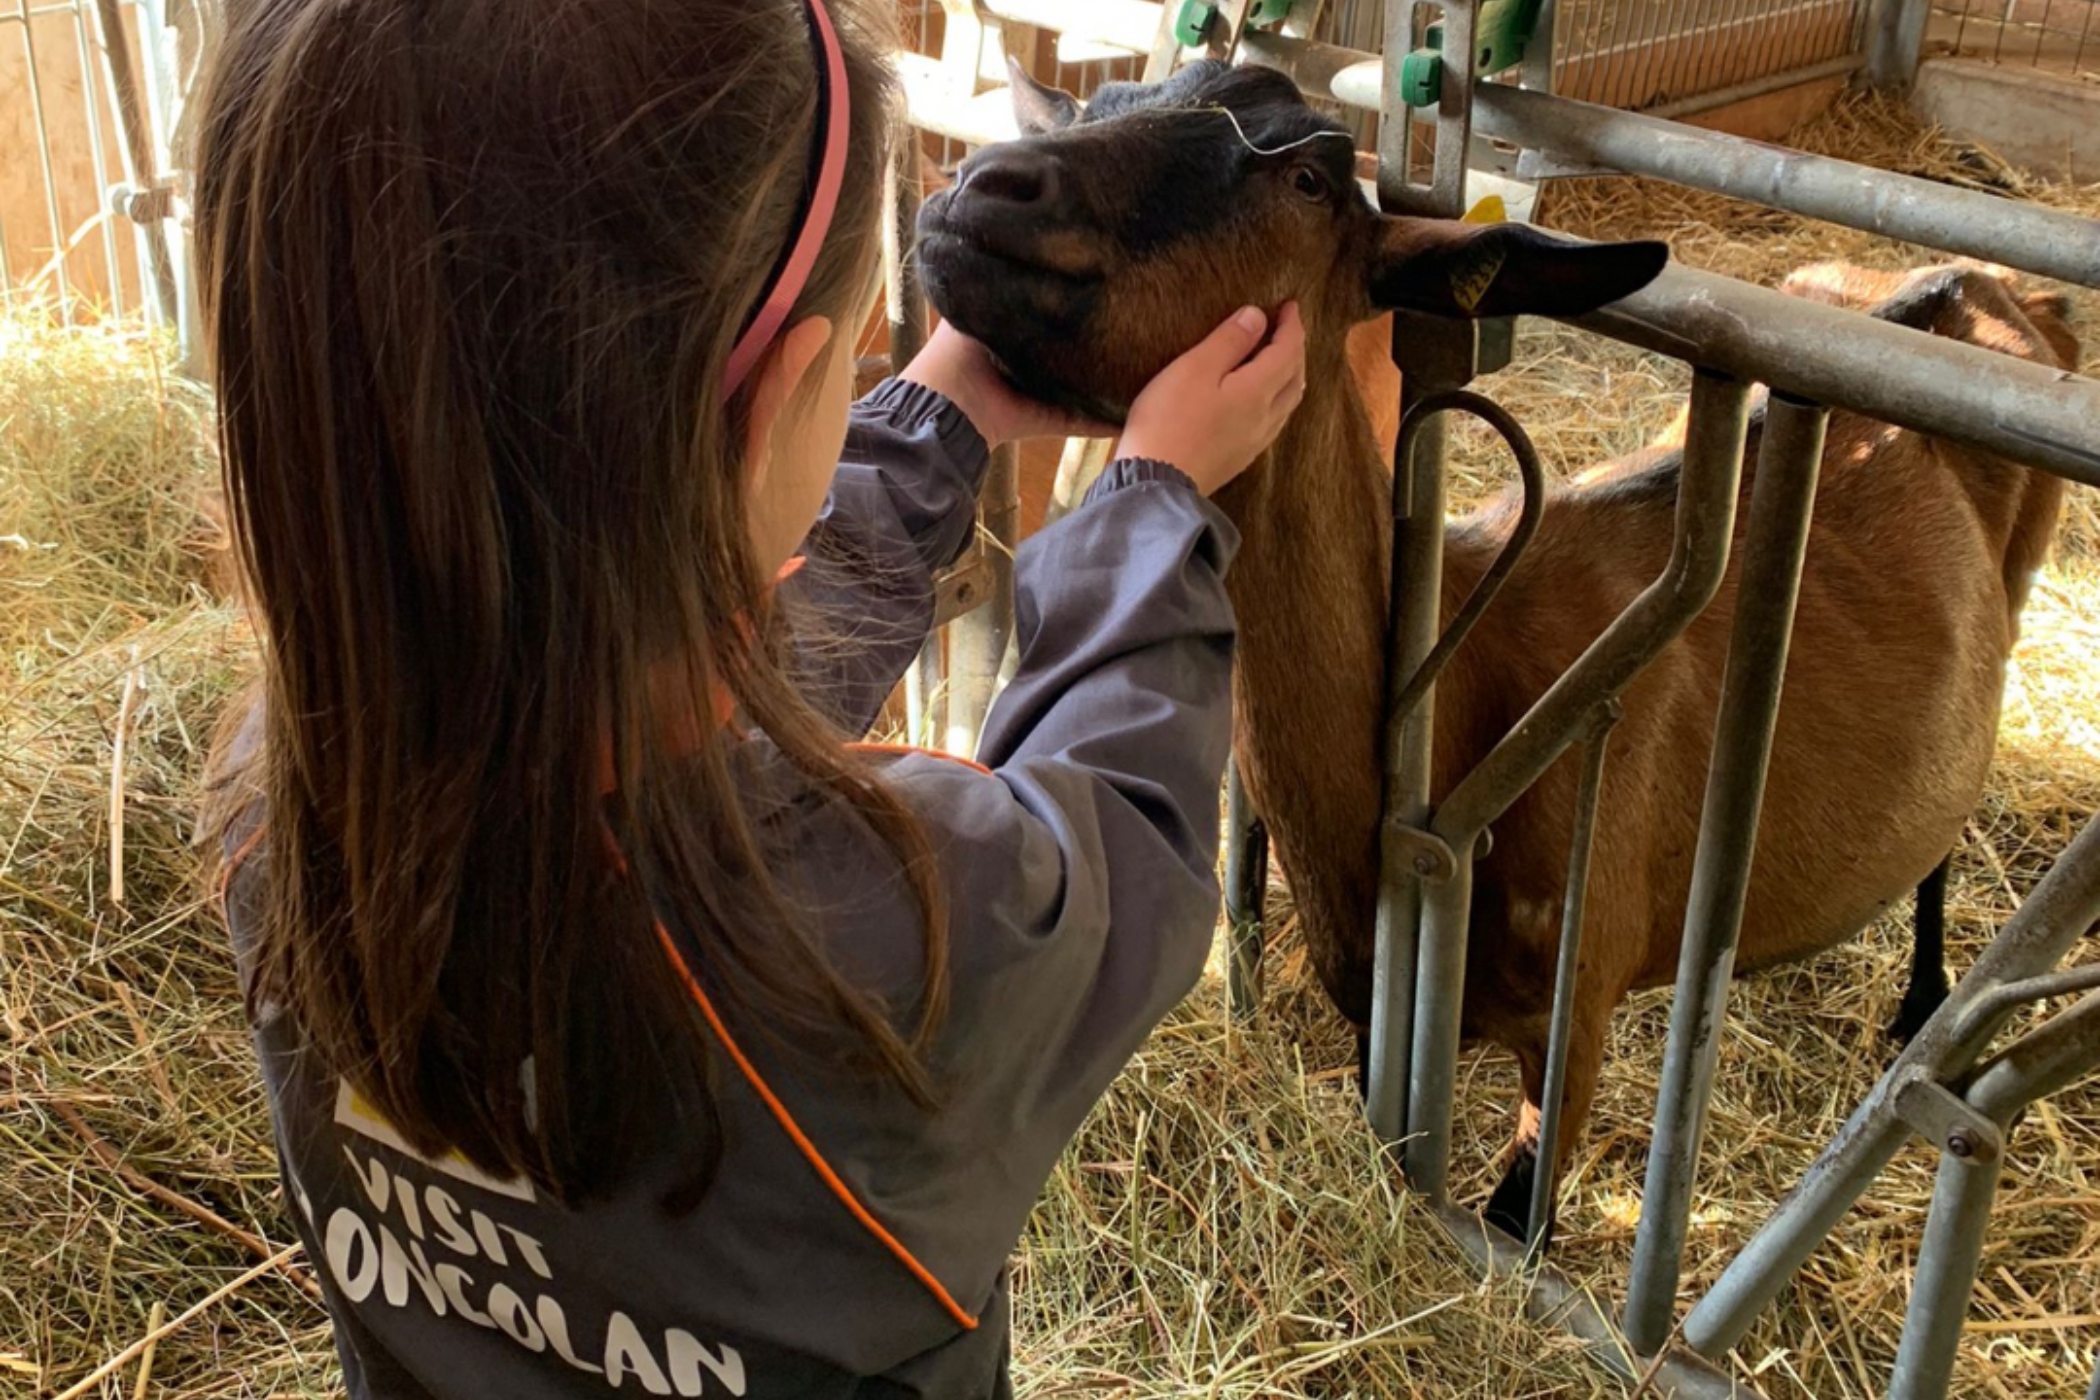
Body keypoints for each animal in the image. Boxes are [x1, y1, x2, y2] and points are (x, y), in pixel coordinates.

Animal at [915, 60, 2066, 1234]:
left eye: (1311, 180)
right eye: (1106, 101)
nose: (985, 186)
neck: (1462, 679)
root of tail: (1997, 287)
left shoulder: (1575, 1020)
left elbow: (1523, 1214)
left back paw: (1921, 1003)